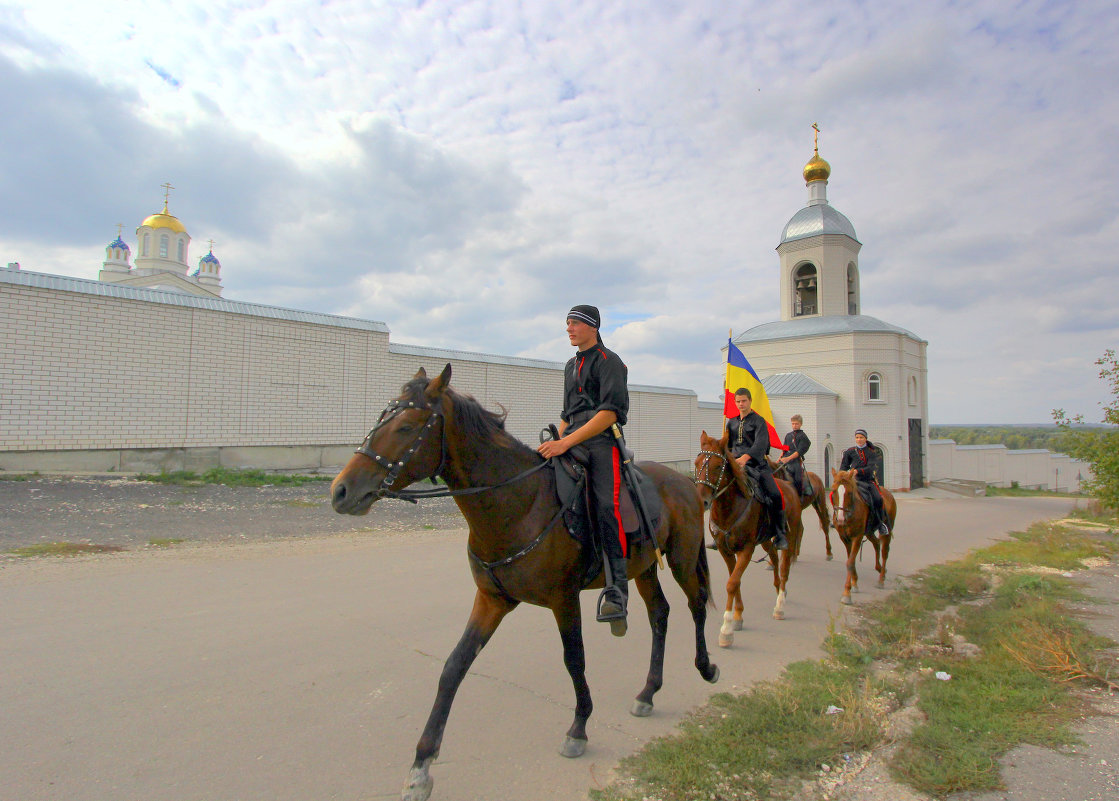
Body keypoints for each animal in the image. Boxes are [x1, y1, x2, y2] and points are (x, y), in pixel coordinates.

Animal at [326, 366, 720, 801]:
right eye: (382, 417)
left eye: (407, 426)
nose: (340, 491)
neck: (520, 502)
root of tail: (686, 484)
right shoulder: (492, 599)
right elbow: (453, 667)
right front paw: (420, 767)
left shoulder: (564, 600)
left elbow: (574, 659)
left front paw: (578, 728)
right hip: (644, 567)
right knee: (660, 615)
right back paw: (648, 692)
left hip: (682, 559)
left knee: (696, 605)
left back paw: (706, 667)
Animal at [693, 429, 801, 648]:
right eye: (696, 464)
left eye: (717, 466)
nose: (702, 501)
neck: (730, 508)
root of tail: (789, 487)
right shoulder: (725, 550)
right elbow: (735, 581)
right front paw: (738, 616)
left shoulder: (746, 549)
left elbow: (732, 583)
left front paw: (726, 630)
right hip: (767, 540)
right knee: (774, 559)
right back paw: (778, 589)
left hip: (789, 537)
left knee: (784, 568)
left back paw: (780, 604)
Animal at [832, 465, 899, 604]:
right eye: (834, 491)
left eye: (849, 492)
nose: (840, 519)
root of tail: (888, 494)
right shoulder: (845, 538)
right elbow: (850, 561)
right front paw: (854, 583)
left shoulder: (857, 537)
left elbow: (850, 562)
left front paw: (847, 593)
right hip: (868, 532)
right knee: (876, 543)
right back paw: (880, 568)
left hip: (886, 531)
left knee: (884, 552)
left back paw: (881, 579)